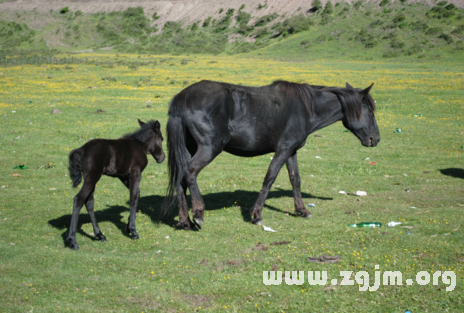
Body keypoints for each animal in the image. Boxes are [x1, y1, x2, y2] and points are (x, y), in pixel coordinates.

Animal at [165, 79, 378, 228]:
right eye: (369, 109)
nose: (376, 139)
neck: (306, 108)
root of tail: (183, 97)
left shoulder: (291, 151)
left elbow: (295, 180)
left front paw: (302, 211)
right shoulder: (283, 150)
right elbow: (270, 178)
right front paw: (257, 215)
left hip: (189, 148)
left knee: (180, 179)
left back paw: (184, 221)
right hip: (209, 148)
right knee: (190, 173)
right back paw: (198, 214)